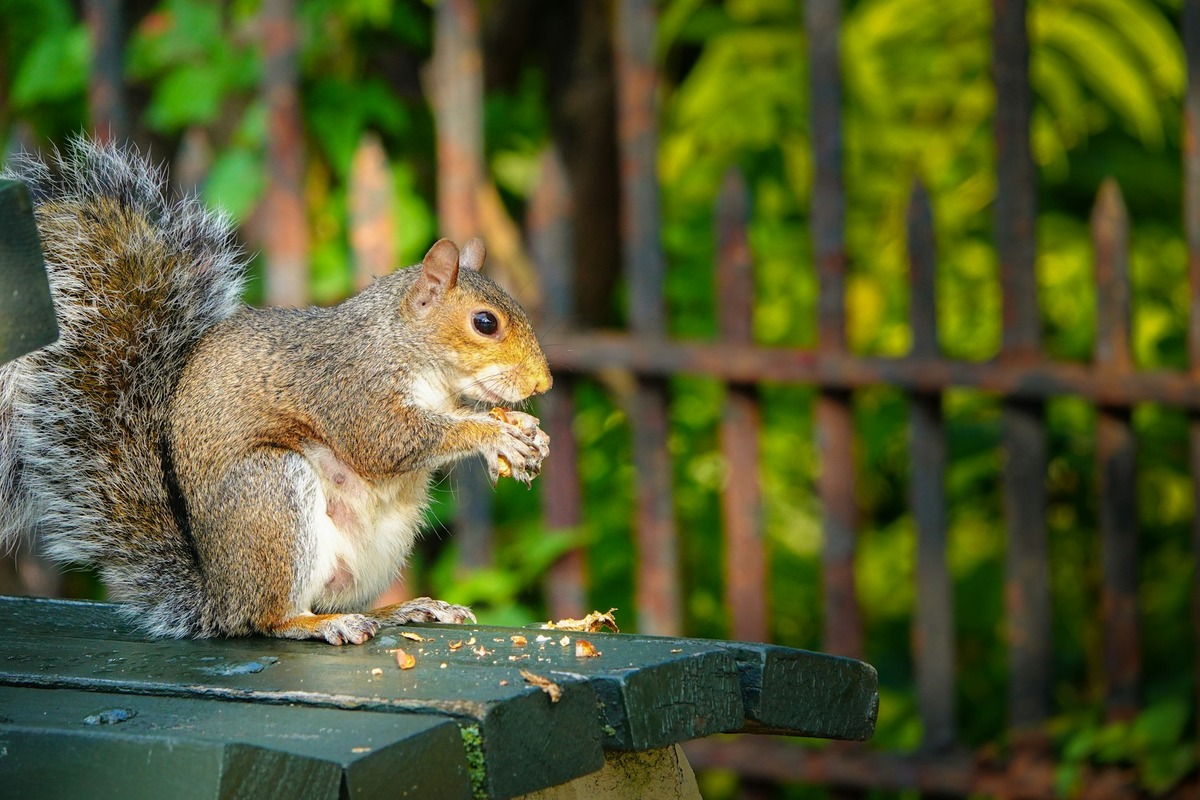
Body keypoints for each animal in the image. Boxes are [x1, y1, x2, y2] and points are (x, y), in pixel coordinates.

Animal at [0, 138, 552, 645]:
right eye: (485, 323)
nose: (542, 382)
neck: (406, 349)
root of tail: (219, 597)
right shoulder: (352, 390)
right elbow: (388, 442)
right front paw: (493, 435)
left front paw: (523, 430)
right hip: (272, 494)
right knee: (269, 618)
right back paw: (319, 624)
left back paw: (402, 610)